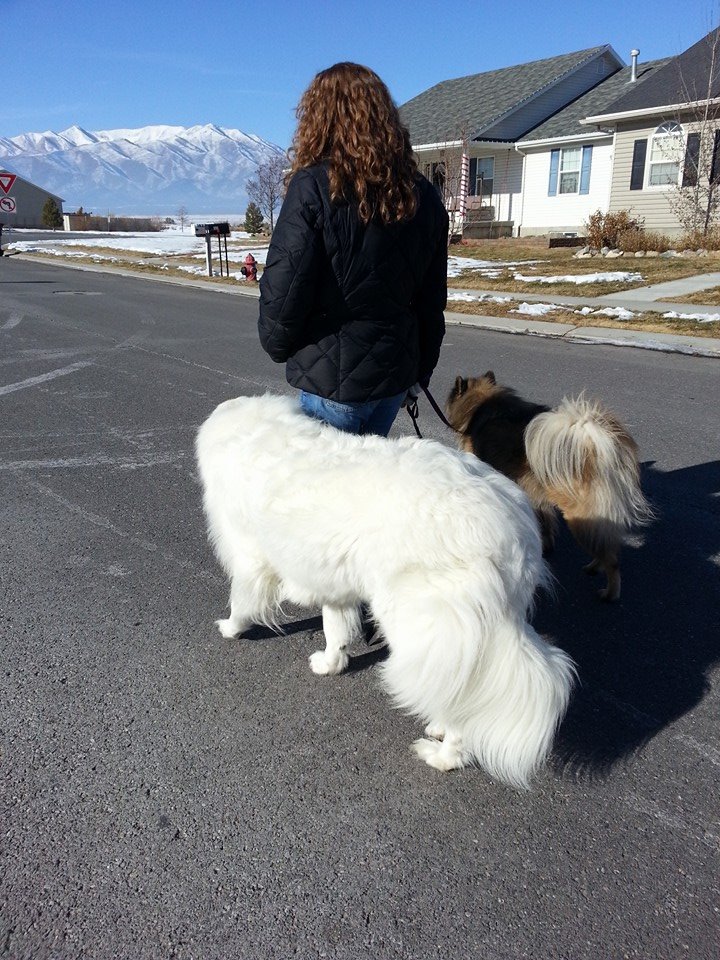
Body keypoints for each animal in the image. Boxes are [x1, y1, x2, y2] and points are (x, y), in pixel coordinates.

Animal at [195, 392, 572, 788]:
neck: (256, 432)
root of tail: (512, 528)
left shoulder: (248, 558)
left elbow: (242, 602)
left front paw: (231, 629)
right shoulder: (334, 582)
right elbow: (336, 630)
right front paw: (331, 664)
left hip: (425, 623)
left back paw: (443, 756)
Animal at [444, 374, 652, 600]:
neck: (482, 405)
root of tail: (597, 448)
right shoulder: (536, 496)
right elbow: (545, 522)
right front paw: (545, 546)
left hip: (581, 515)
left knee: (611, 558)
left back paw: (610, 593)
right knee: (605, 544)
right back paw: (594, 567)